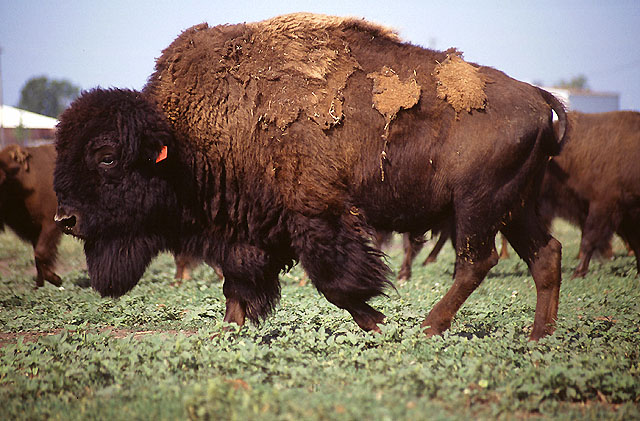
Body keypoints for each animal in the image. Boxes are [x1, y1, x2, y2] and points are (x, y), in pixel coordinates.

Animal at [0, 143, 62, 288]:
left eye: (1, 181)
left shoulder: (51, 224)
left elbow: (40, 253)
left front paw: (56, 280)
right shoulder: (34, 228)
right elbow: (37, 255)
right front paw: (39, 285)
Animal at [52, 13, 568, 338]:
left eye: (106, 157)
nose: (65, 219)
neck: (181, 138)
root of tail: (540, 96)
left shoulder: (316, 217)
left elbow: (336, 283)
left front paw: (380, 323)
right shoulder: (246, 235)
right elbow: (237, 289)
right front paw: (229, 335)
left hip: (477, 207)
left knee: (476, 262)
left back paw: (427, 327)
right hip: (513, 208)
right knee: (545, 255)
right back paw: (537, 337)